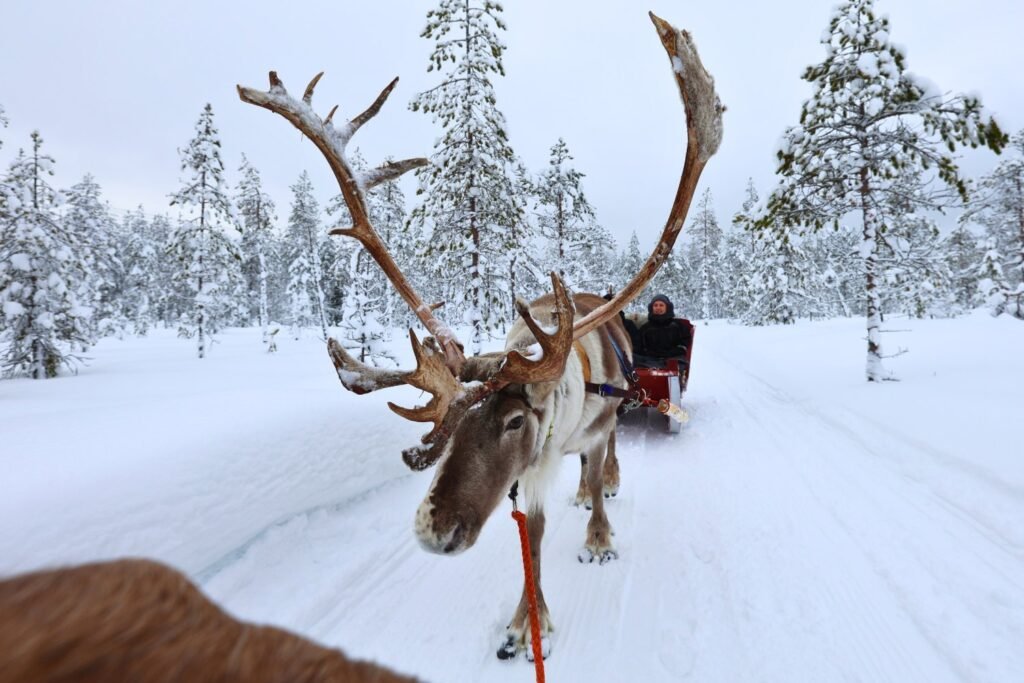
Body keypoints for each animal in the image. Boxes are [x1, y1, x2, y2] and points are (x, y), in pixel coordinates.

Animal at [237, 12, 722, 660]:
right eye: (448, 425)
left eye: (513, 421)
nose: (433, 531)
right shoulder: (535, 468)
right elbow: (532, 537)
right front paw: (525, 622)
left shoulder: (584, 431)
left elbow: (596, 478)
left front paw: (597, 538)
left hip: (616, 411)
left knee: (610, 454)